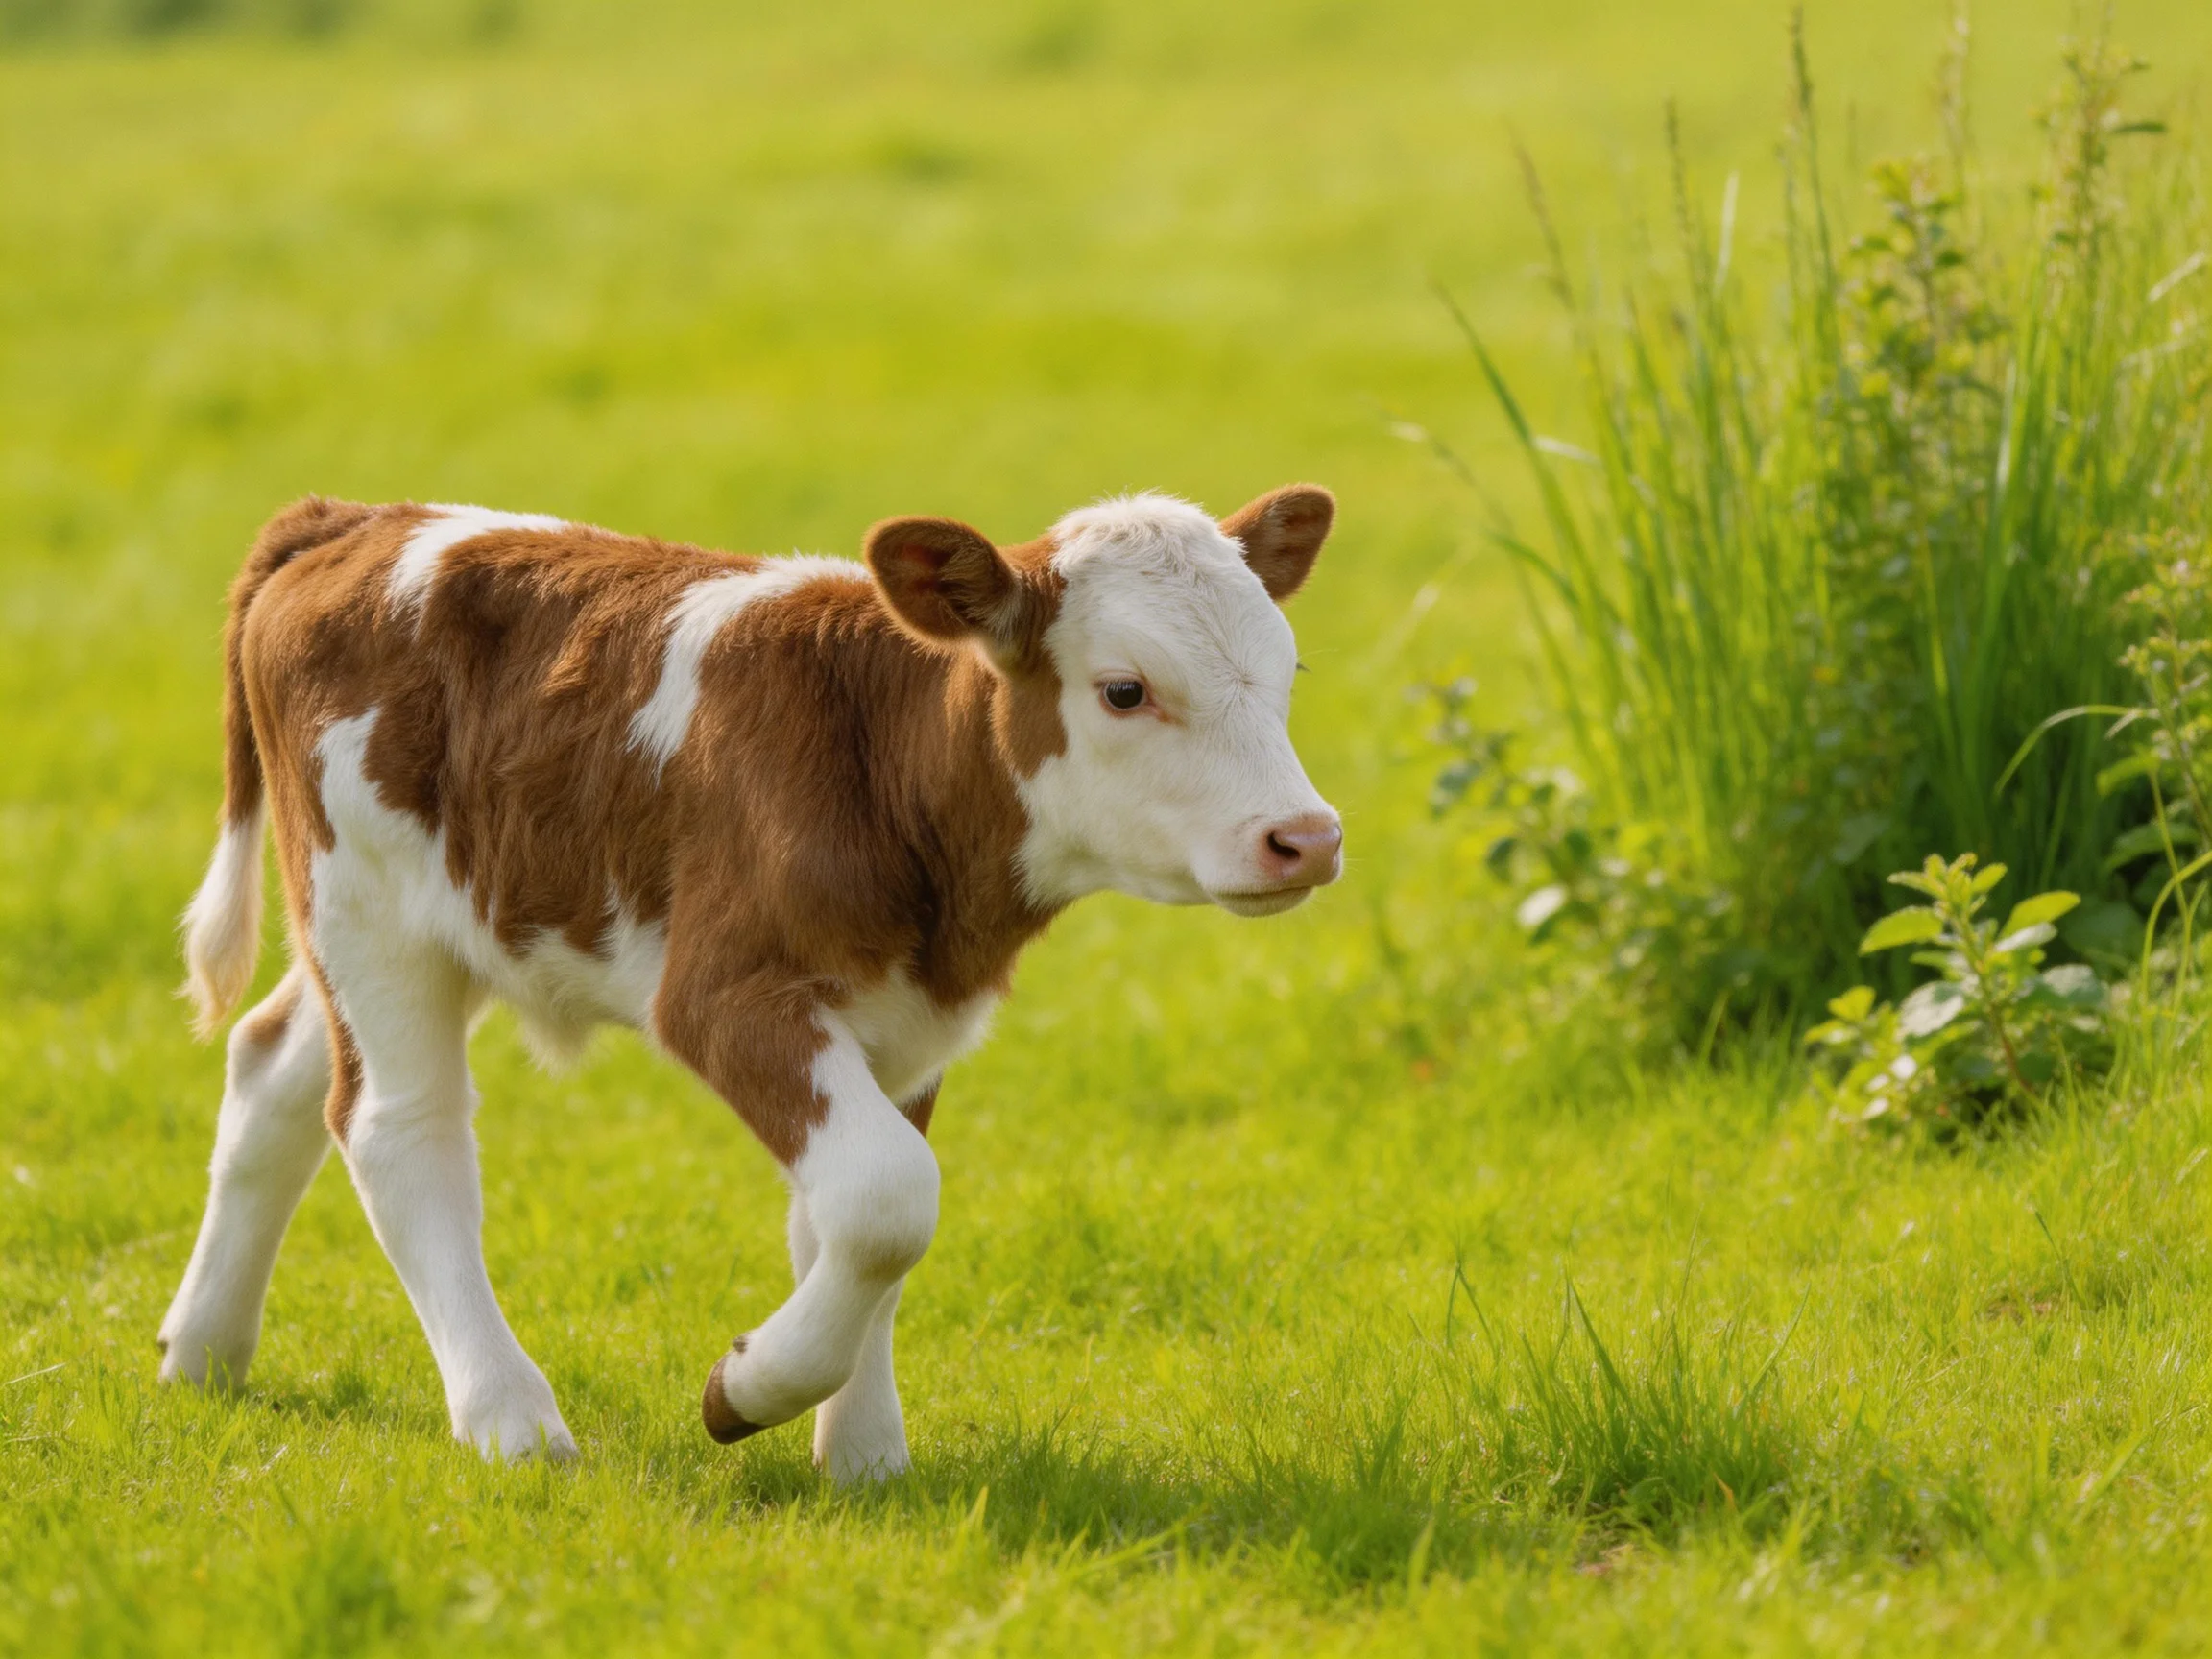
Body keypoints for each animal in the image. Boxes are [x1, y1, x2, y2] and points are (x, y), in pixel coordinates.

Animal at [157, 485, 1343, 1479]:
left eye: (1285, 674)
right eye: (1125, 690)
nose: (1306, 837)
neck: (879, 763)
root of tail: (358, 519)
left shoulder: (904, 1022)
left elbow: (849, 1212)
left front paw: (862, 1458)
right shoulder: (723, 993)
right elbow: (889, 1197)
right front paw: (750, 1391)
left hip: (428, 920)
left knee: (274, 1066)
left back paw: (203, 1351)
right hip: (368, 907)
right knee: (400, 1128)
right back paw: (511, 1420)